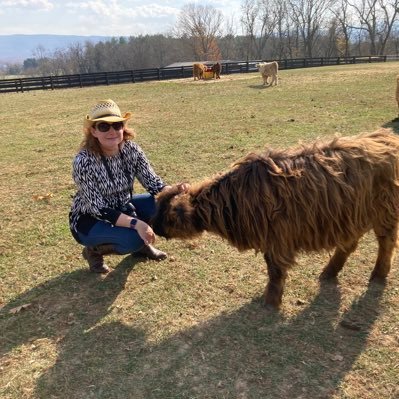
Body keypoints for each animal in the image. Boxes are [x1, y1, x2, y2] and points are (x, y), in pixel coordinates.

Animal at [154, 130, 399, 310]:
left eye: (169, 216)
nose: (155, 229)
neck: (232, 199)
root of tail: (388, 137)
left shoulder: (277, 238)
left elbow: (275, 269)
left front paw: (271, 301)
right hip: (353, 214)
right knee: (350, 242)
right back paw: (329, 272)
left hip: (385, 210)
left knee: (386, 242)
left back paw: (378, 275)